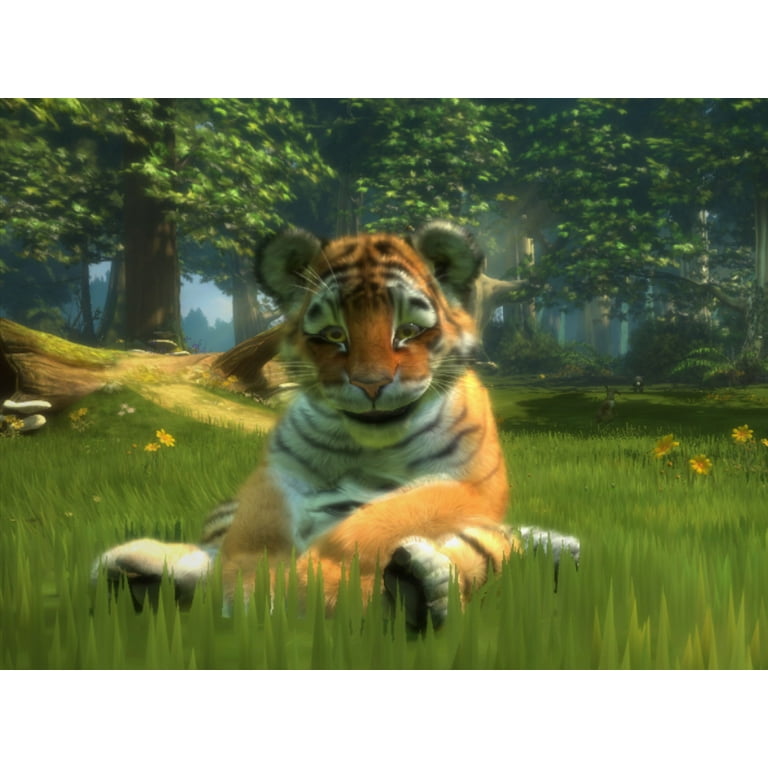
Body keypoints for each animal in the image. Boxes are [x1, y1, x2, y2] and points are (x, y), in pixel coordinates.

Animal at [94, 222, 548, 631]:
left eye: (408, 331)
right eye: (333, 334)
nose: (371, 384)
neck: (372, 448)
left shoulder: (472, 487)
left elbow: (387, 515)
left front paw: (310, 584)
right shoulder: (278, 477)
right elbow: (257, 535)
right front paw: (251, 588)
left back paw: (417, 583)